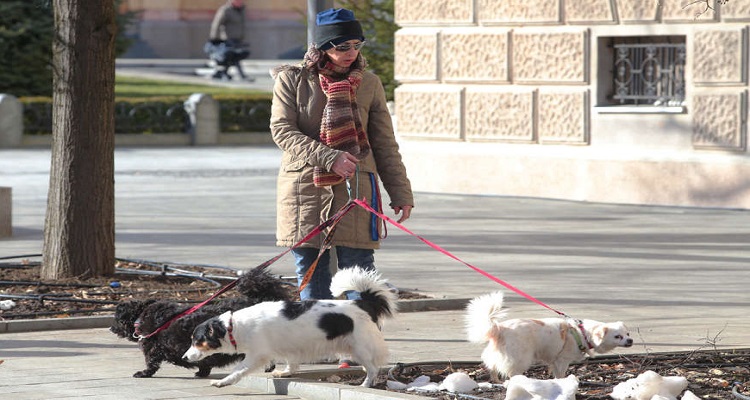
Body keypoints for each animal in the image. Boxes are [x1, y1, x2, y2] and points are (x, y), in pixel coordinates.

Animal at [110, 268, 293, 378]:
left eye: (117, 320)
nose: (111, 328)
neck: (141, 315)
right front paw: (202, 372)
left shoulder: (154, 348)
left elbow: (151, 362)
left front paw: (144, 373)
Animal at [182, 267, 398, 388]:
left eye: (197, 341)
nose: (184, 357)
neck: (233, 327)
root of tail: (362, 303)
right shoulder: (288, 346)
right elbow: (291, 361)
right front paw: (286, 372)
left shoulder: (256, 355)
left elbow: (237, 371)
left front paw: (222, 382)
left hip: (359, 346)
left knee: (373, 369)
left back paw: (366, 384)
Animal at [465, 291, 633, 382]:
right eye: (618, 336)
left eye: (627, 333)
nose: (630, 340)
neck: (582, 333)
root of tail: (500, 329)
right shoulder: (562, 360)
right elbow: (561, 374)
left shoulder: (554, 361)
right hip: (521, 358)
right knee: (512, 372)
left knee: (493, 366)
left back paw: (496, 380)